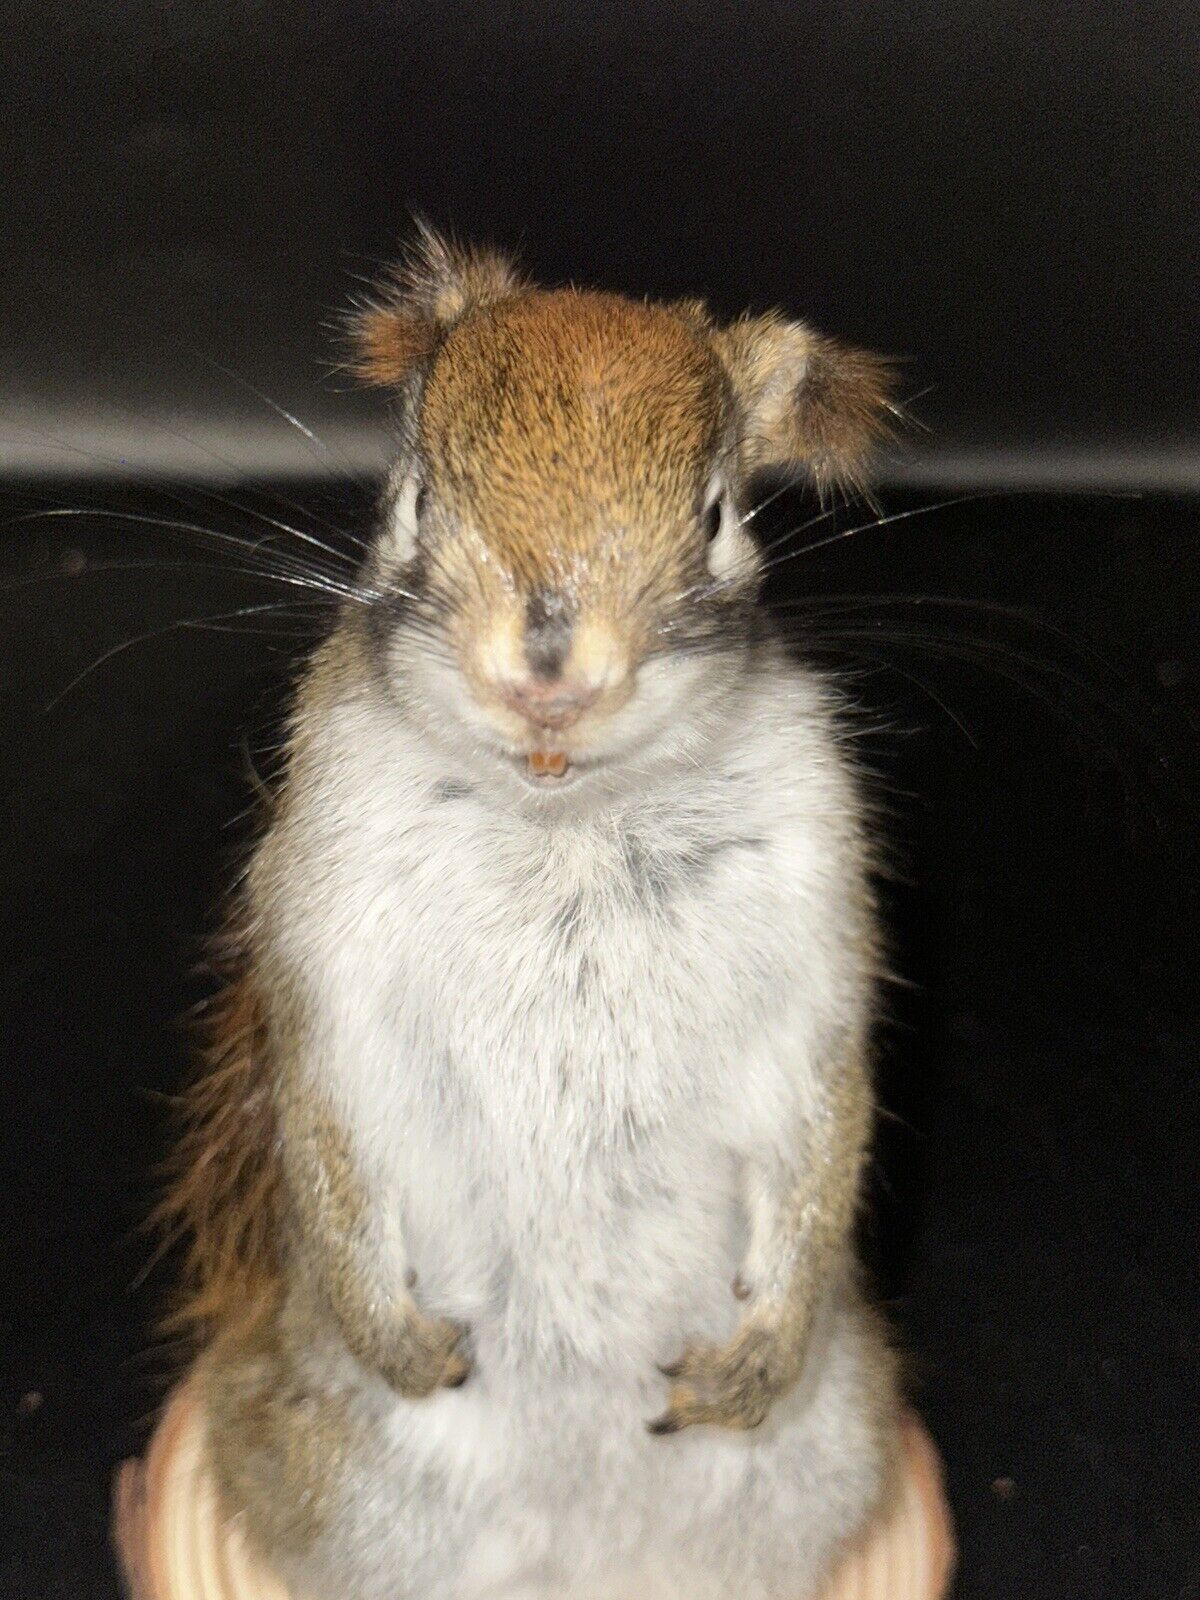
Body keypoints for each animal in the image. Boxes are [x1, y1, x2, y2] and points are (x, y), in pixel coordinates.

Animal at [158, 224, 903, 1600]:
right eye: (412, 500)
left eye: (721, 516)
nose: (549, 679)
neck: (566, 819)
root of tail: (580, 1557)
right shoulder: (323, 960)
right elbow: (322, 1130)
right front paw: (396, 1334)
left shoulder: (818, 943)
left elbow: (831, 1128)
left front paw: (761, 1349)